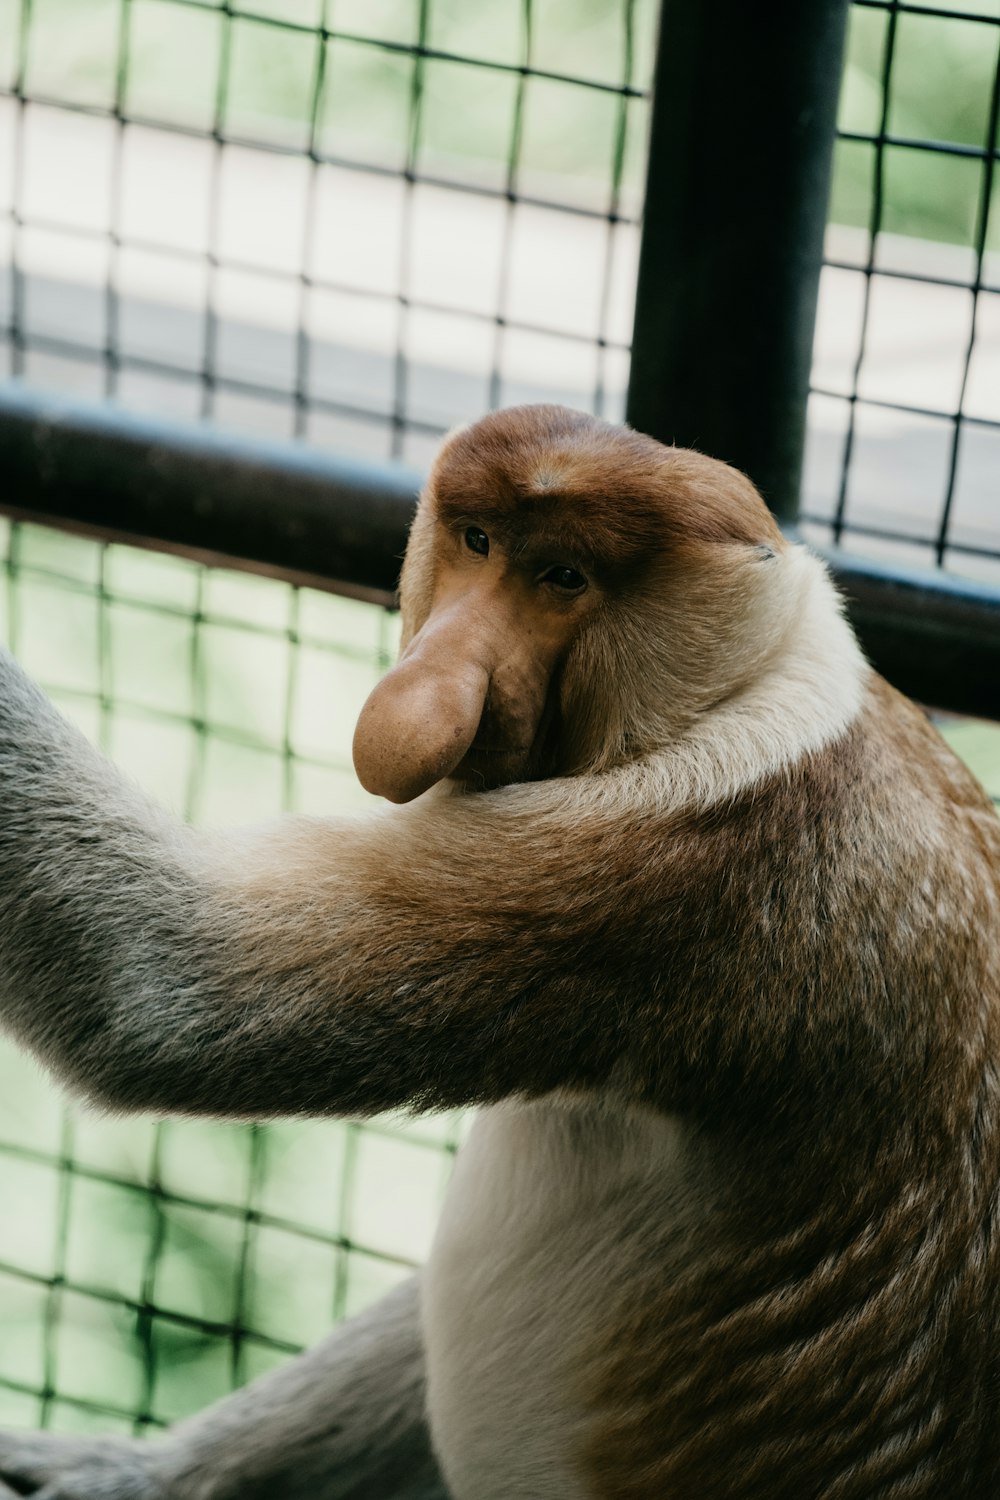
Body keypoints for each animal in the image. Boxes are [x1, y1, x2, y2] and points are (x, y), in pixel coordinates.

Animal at [1, 402, 1000, 1500]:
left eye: (562, 577)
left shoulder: (681, 869)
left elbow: (163, 989)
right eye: (477, 542)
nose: (426, 691)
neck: (753, 677)